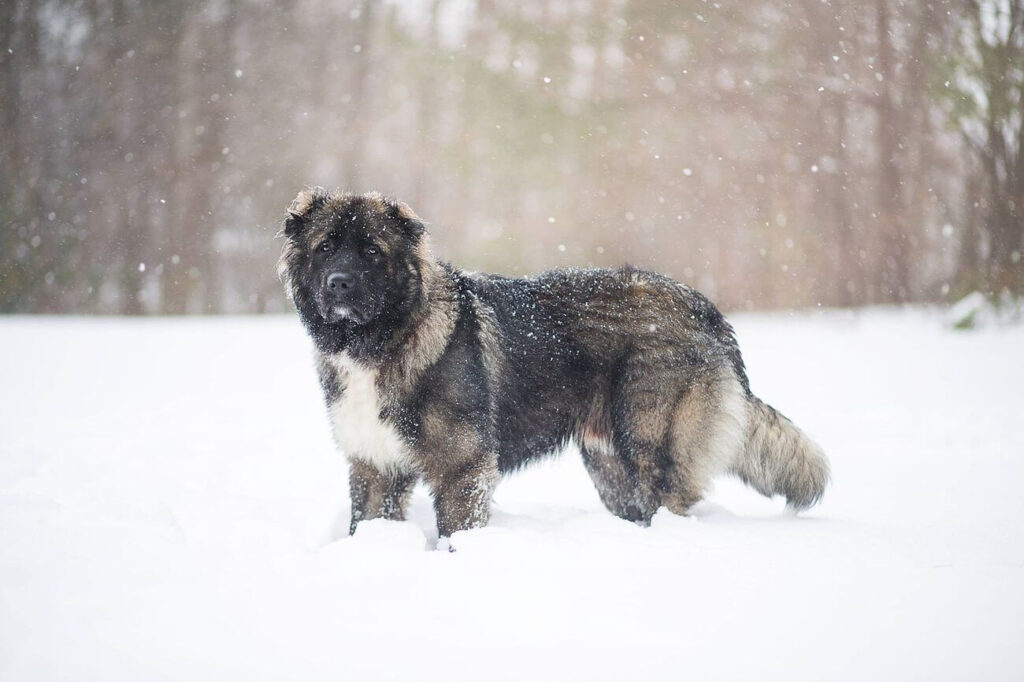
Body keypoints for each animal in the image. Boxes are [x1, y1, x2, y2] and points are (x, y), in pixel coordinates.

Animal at [276, 188, 827, 540]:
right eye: (326, 247)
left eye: (372, 250)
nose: (339, 283)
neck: (384, 338)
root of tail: (704, 308)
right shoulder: (374, 467)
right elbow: (363, 524)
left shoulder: (462, 469)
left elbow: (456, 531)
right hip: (610, 467)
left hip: (653, 448)